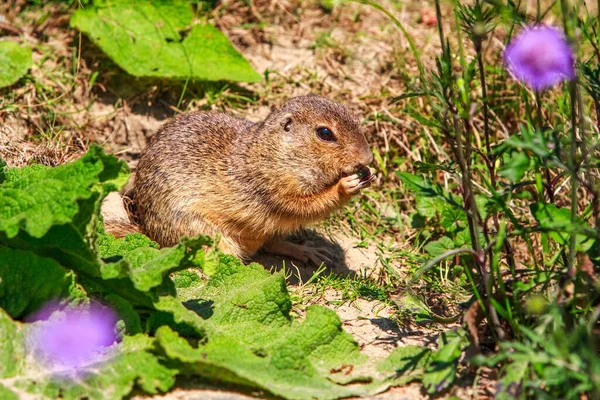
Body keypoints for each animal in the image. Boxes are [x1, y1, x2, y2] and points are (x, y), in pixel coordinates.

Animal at [134, 95, 372, 266]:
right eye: (324, 133)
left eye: (356, 119)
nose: (368, 158)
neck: (273, 152)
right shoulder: (272, 186)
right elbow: (304, 205)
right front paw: (345, 186)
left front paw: (368, 175)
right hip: (206, 235)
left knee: (272, 244)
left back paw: (310, 252)